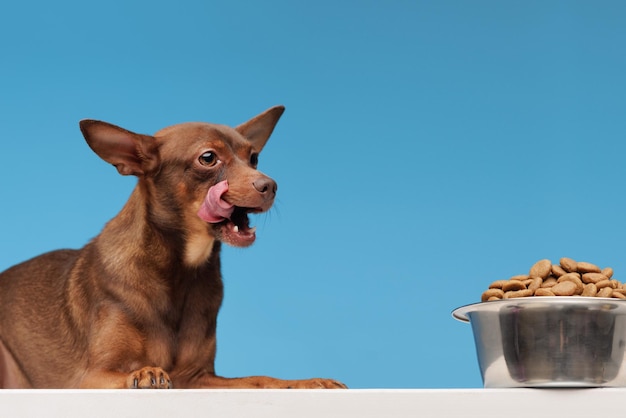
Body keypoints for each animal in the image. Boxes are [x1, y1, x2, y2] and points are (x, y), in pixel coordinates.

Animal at [0, 106, 344, 390]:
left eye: (254, 158)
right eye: (208, 158)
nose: (269, 185)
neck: (181, 270)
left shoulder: (196, 377)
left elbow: (260, 379)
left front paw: (308, 382)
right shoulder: (92, 376)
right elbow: (131, 372)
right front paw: (143, 373)